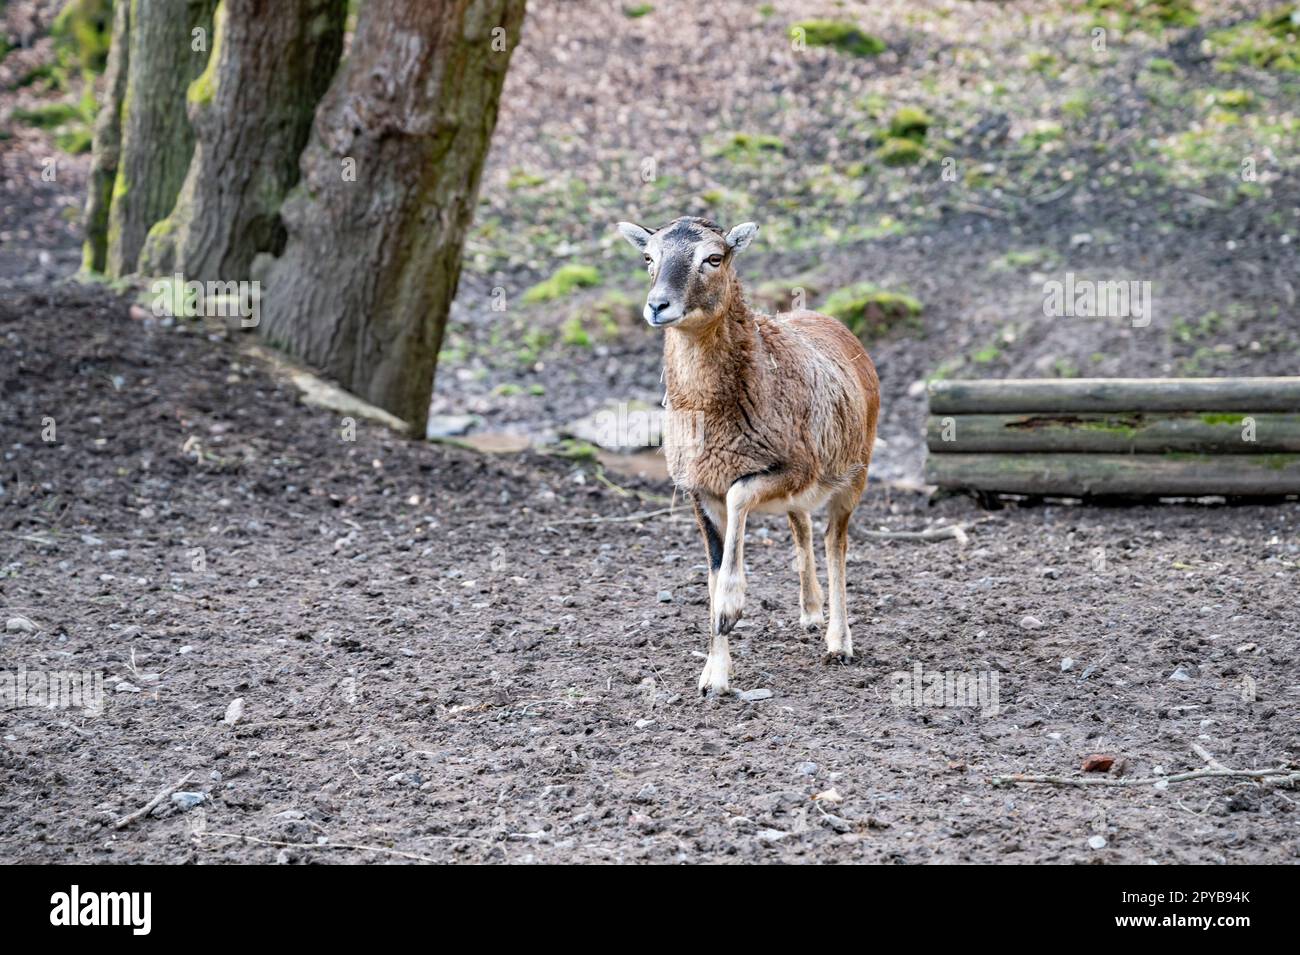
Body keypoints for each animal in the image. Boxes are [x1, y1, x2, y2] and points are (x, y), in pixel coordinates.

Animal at [616, 216, 880, 695]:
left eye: (713, 258)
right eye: (648, 257)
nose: (658, 305)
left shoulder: (790, 468)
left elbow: (739, 499)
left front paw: (730, 610)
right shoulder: (698, 487)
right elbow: (714, 567)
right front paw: (714, 677)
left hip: (854, 474)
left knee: (835, 542)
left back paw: (838, 642)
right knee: (801, 525)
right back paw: (810, 613)